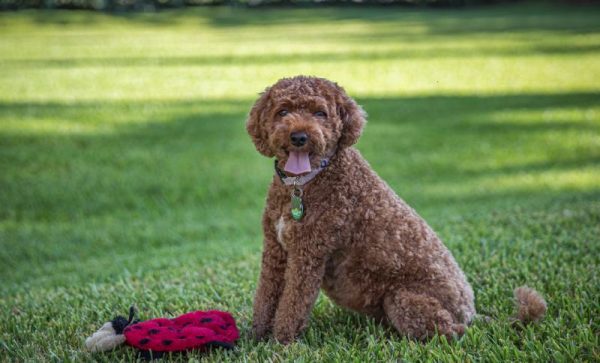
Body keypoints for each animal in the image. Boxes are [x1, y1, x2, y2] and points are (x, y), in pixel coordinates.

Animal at [246, 76, 548, 344]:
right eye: (283, 111)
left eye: (320, 113)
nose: (299, 136)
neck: (302, 184)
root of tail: (471, 314)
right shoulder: (275, 250)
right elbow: (265, 297)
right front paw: (256, 338)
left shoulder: (307, 254)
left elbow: (293, 304)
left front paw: (281, 343)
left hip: (402, 299)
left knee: (451, 333)